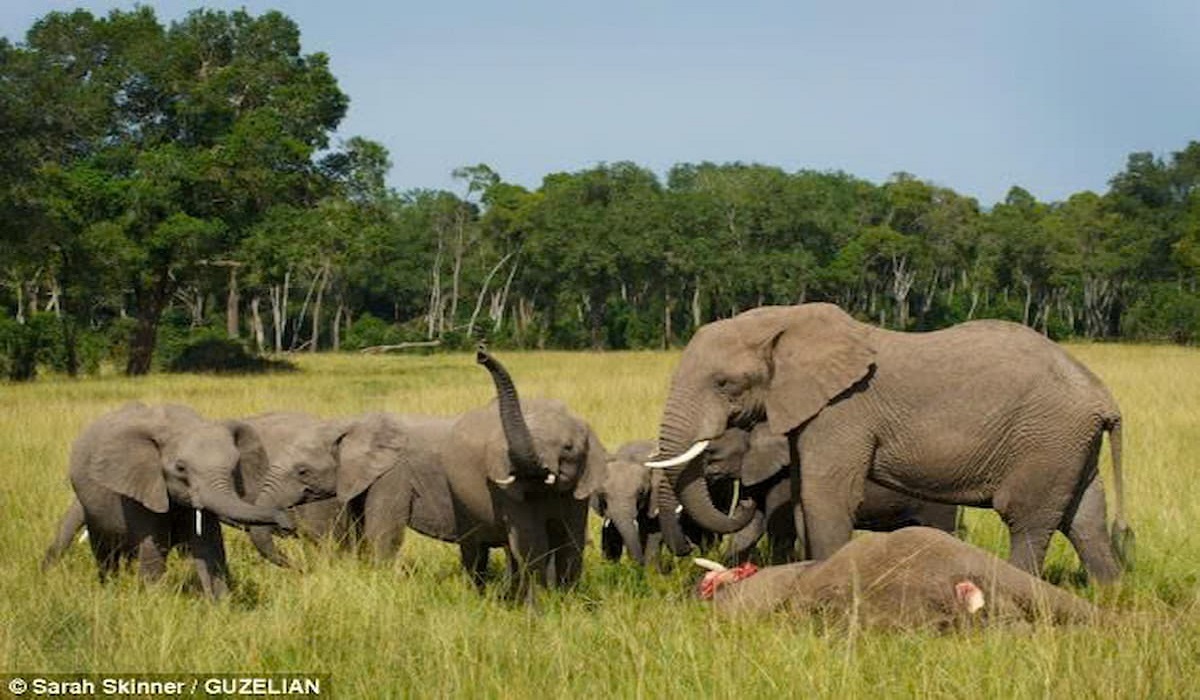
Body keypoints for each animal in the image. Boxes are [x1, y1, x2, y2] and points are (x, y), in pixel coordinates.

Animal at [652, 303, 1128, 583]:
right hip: (1071, 444)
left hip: (1046, 438)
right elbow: (806, 497)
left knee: (1027, 520)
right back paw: (1110, 594)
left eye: (724, 383)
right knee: (1085, 520)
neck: (786, 320)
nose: (688, 550)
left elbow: (826, 496)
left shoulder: (844, 409)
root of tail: (1104, 397)